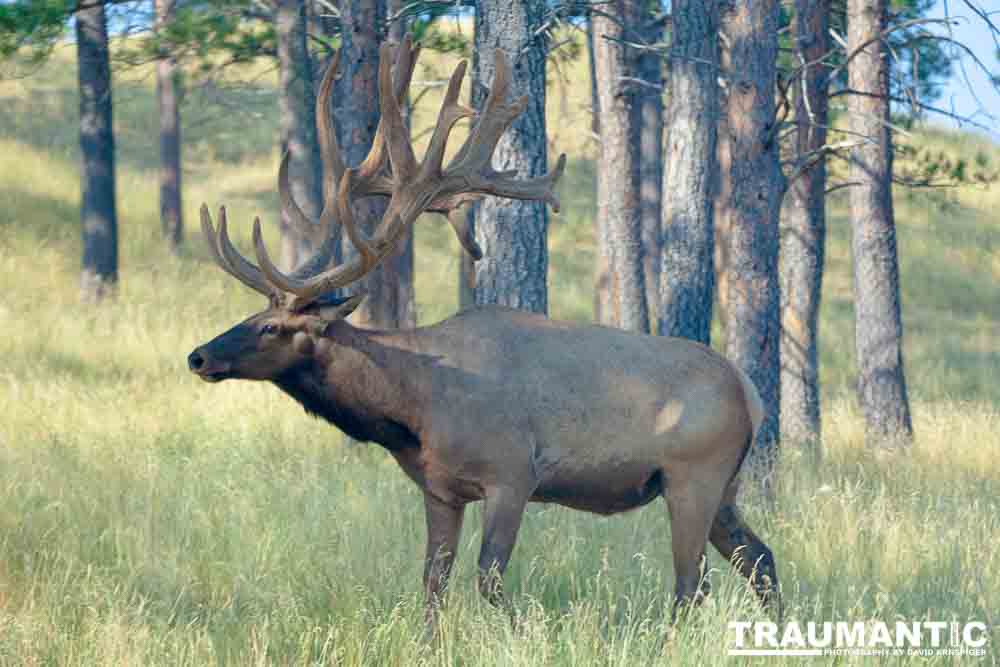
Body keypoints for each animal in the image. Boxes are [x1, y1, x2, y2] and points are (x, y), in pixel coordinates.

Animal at [188, 35, 780, 620]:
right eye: (249, 315)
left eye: (272, 327)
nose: (198, 356)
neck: (413, 408)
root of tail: (750, 394)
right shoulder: (439, 490)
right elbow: (432, 583)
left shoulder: (512, 473)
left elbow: (489, 579)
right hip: (725, 487)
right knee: (760, 559)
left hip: (693, 475)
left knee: (692, 585)